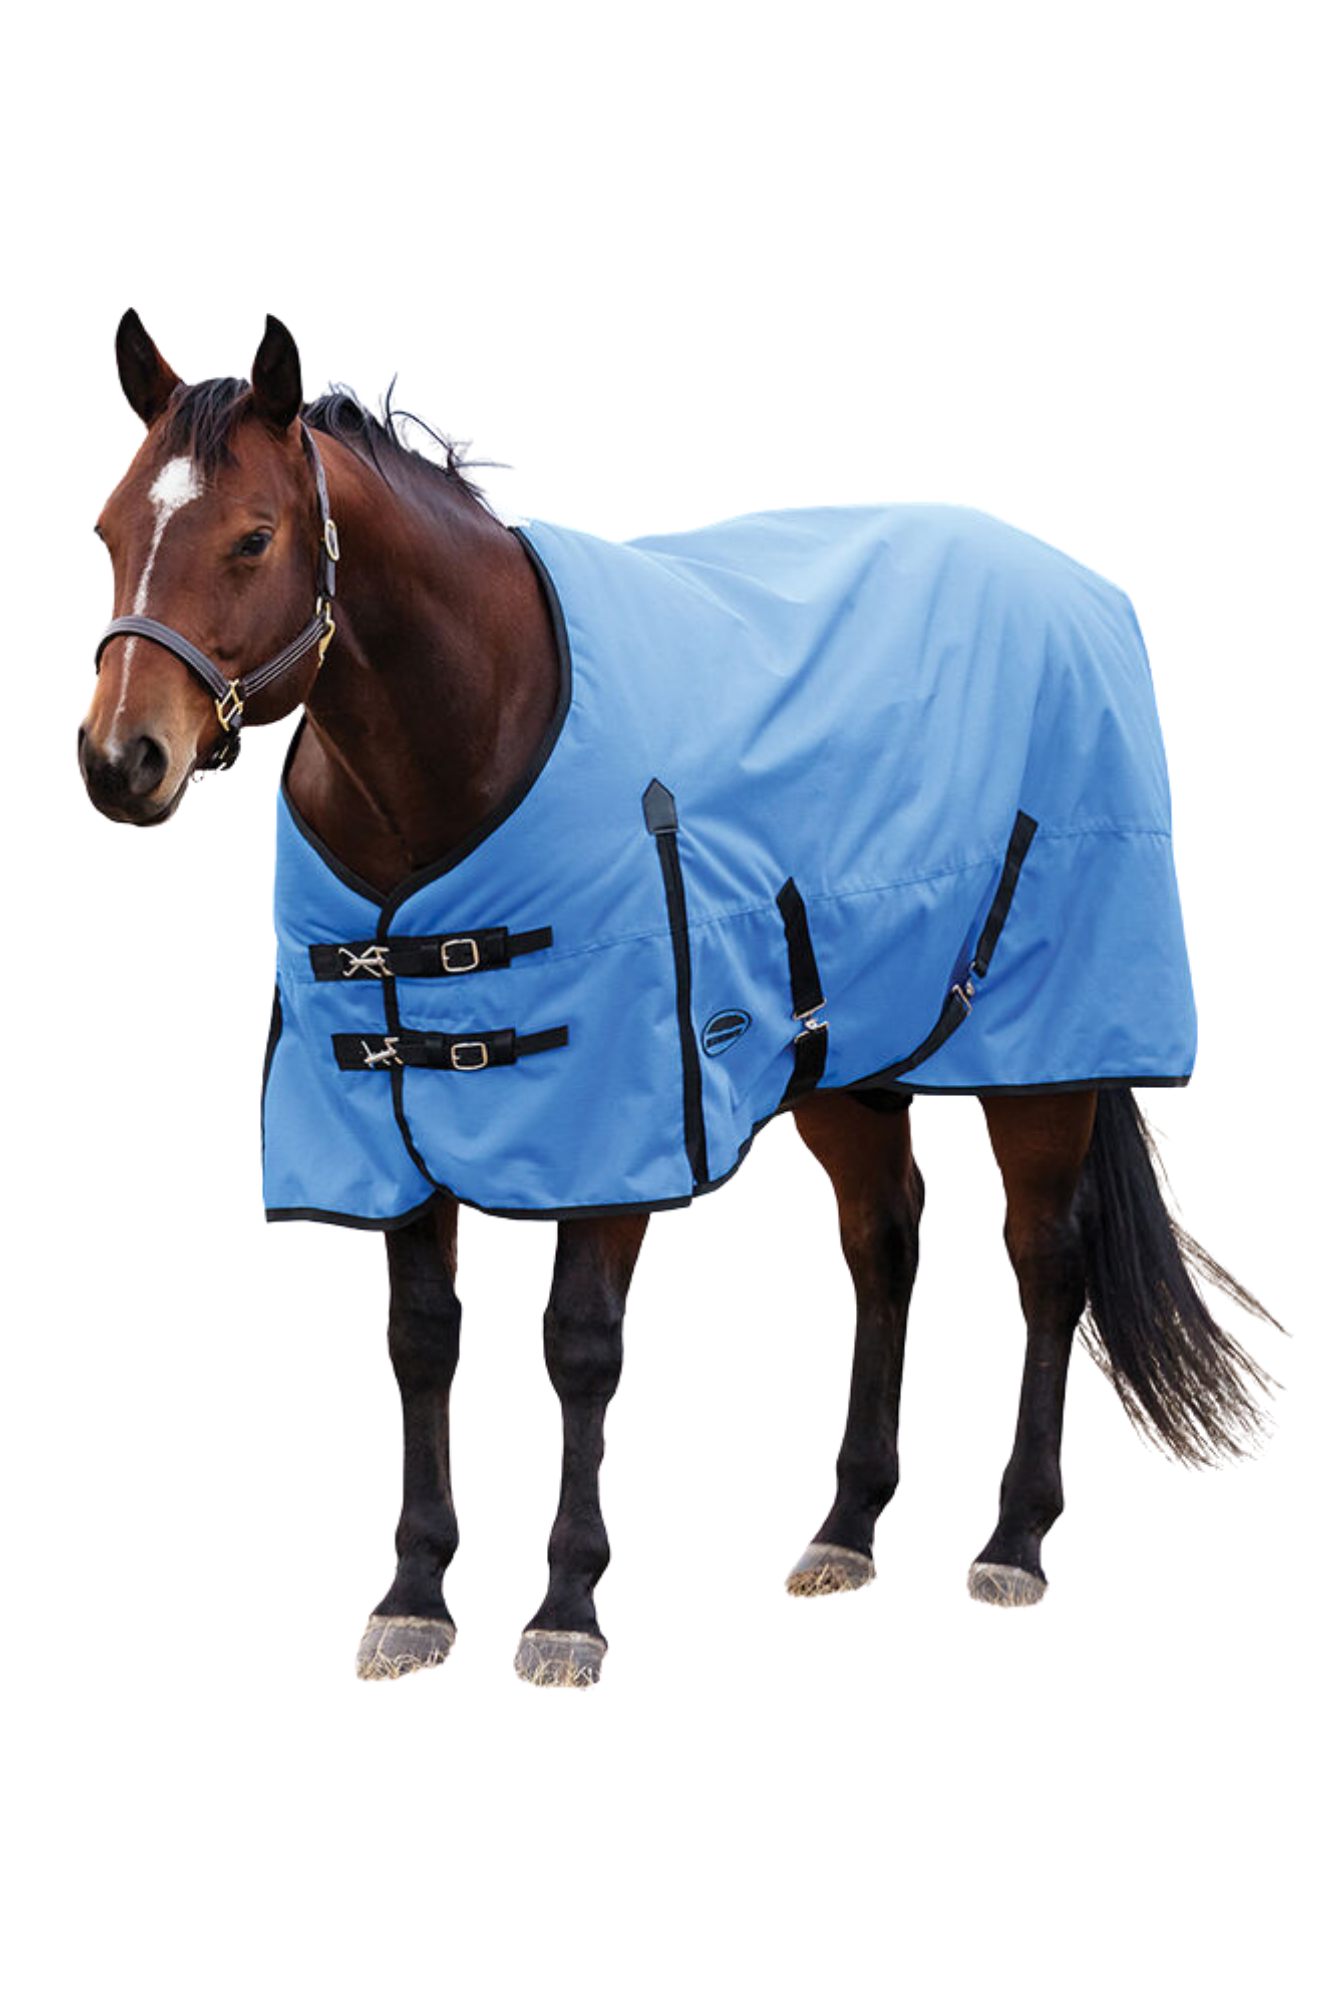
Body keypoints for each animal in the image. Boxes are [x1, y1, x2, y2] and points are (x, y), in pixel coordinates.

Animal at [78, 312, 1290, 1689]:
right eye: (109, 532)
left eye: (254, 535)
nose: (121, 760)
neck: (464, 740)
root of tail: (1075, 584)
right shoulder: (386, 1107)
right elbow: (424, 1338)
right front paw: (414, 1601)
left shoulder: (619, 1109)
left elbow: (580, 1341)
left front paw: (563, 1612)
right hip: (845, 1065)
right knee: (885, 1250)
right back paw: (845, 1532)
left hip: (1050, 1055)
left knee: (1047, 1261)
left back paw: (1014, 1543)